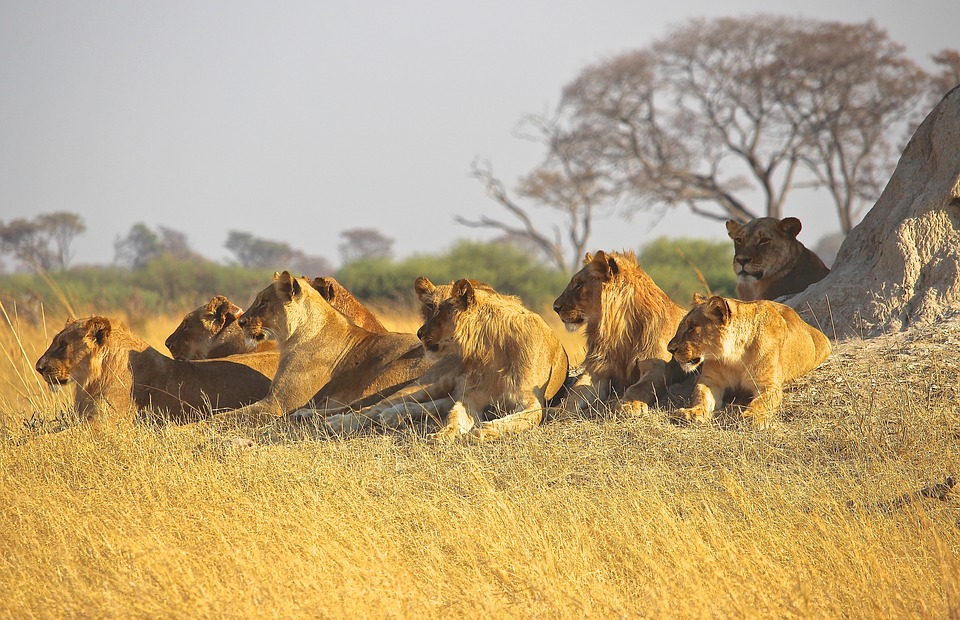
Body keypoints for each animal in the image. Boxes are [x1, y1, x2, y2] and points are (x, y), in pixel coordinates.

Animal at [209, 271, 434, 428]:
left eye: (263, 303)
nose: (241, 322)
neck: (291, 337)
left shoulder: (277, 403)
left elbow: (224, 416)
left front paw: (199, 426)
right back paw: (305, 415)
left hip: (386, 375)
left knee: (370, 406)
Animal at [413, 279, 569, 442]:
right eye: (430, 306)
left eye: (441, 311)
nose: (419, 333)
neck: (492, 349)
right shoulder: (471, 397)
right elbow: (454, 417)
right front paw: (442, 434)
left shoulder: (532, 401)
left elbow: (514, 421)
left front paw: (481, 431)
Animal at [553, 250, 690, 415]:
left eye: (579, 284)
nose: (555, 307)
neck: (619, 331)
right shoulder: (597, 370)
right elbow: (575, 392)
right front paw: (558, 410)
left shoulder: (657, 367)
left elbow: (639, 387)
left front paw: (629, 405)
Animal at [667, 294, 831, 428]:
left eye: (691, 328)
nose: (670, 349)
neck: (735, 356)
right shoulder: (710, 380)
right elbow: (701, 395)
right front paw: (692, 413)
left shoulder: (768, 385)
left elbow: (761, 402)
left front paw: (752, 417)